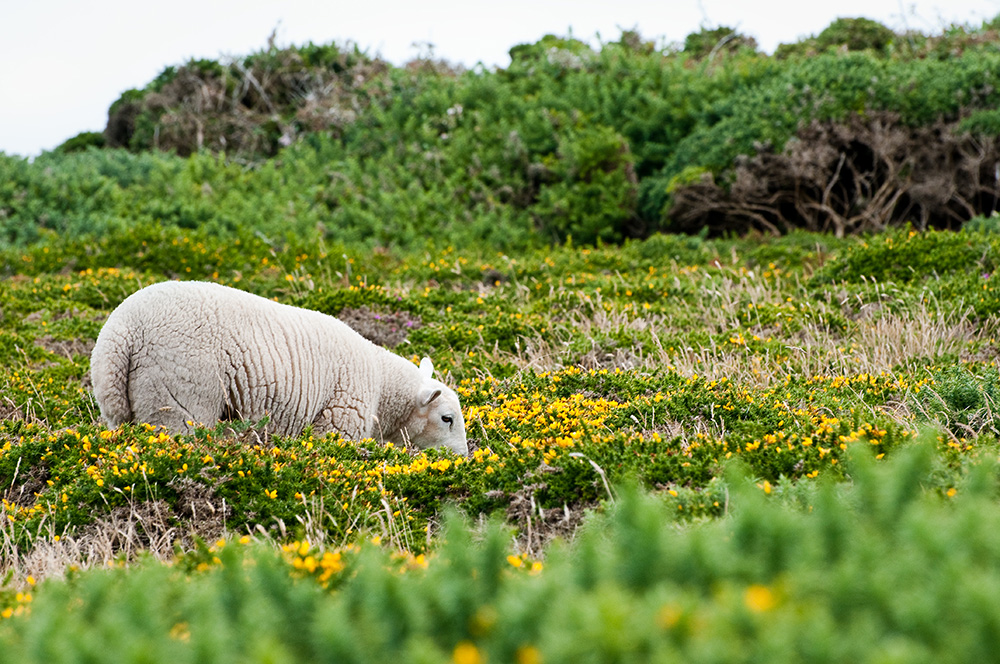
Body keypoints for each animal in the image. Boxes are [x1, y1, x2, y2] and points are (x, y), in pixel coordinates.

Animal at [92, 278, 466, 454]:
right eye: (446, 418)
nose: (462, 458)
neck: (382, 383)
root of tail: (122, 334)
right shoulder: (339, 421)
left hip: (120, 407)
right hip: (178, 395)